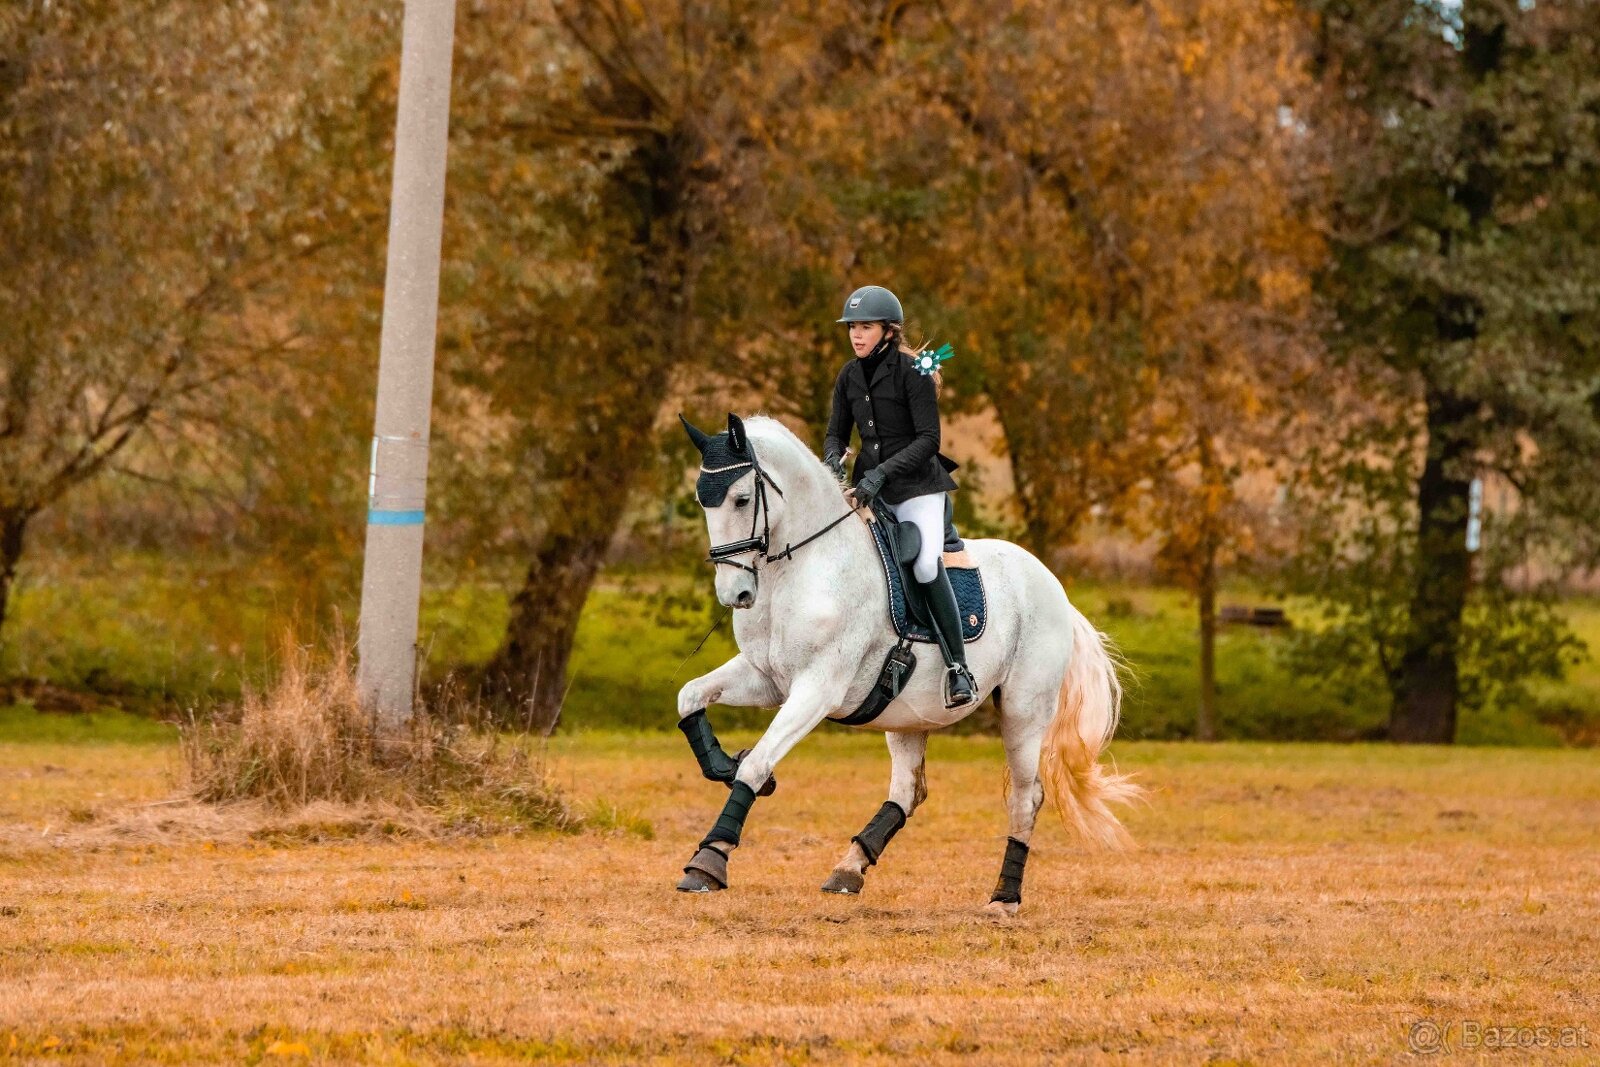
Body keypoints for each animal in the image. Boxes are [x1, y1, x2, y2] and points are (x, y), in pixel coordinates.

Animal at [673, 412, 1142, 915]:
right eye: (702, 501)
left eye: (741, 499)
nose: (735, 595)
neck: (798, 568)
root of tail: (1055, 588)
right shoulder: (766, 678)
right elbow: (690, 698)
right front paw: (724, 763)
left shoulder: (817, 687)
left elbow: (758, 764)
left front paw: (709, 859)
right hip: (907, 714)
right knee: (908, 792)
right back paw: (849, 867)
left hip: (1023, 710)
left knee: (1024, 796)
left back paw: (1004, 897)